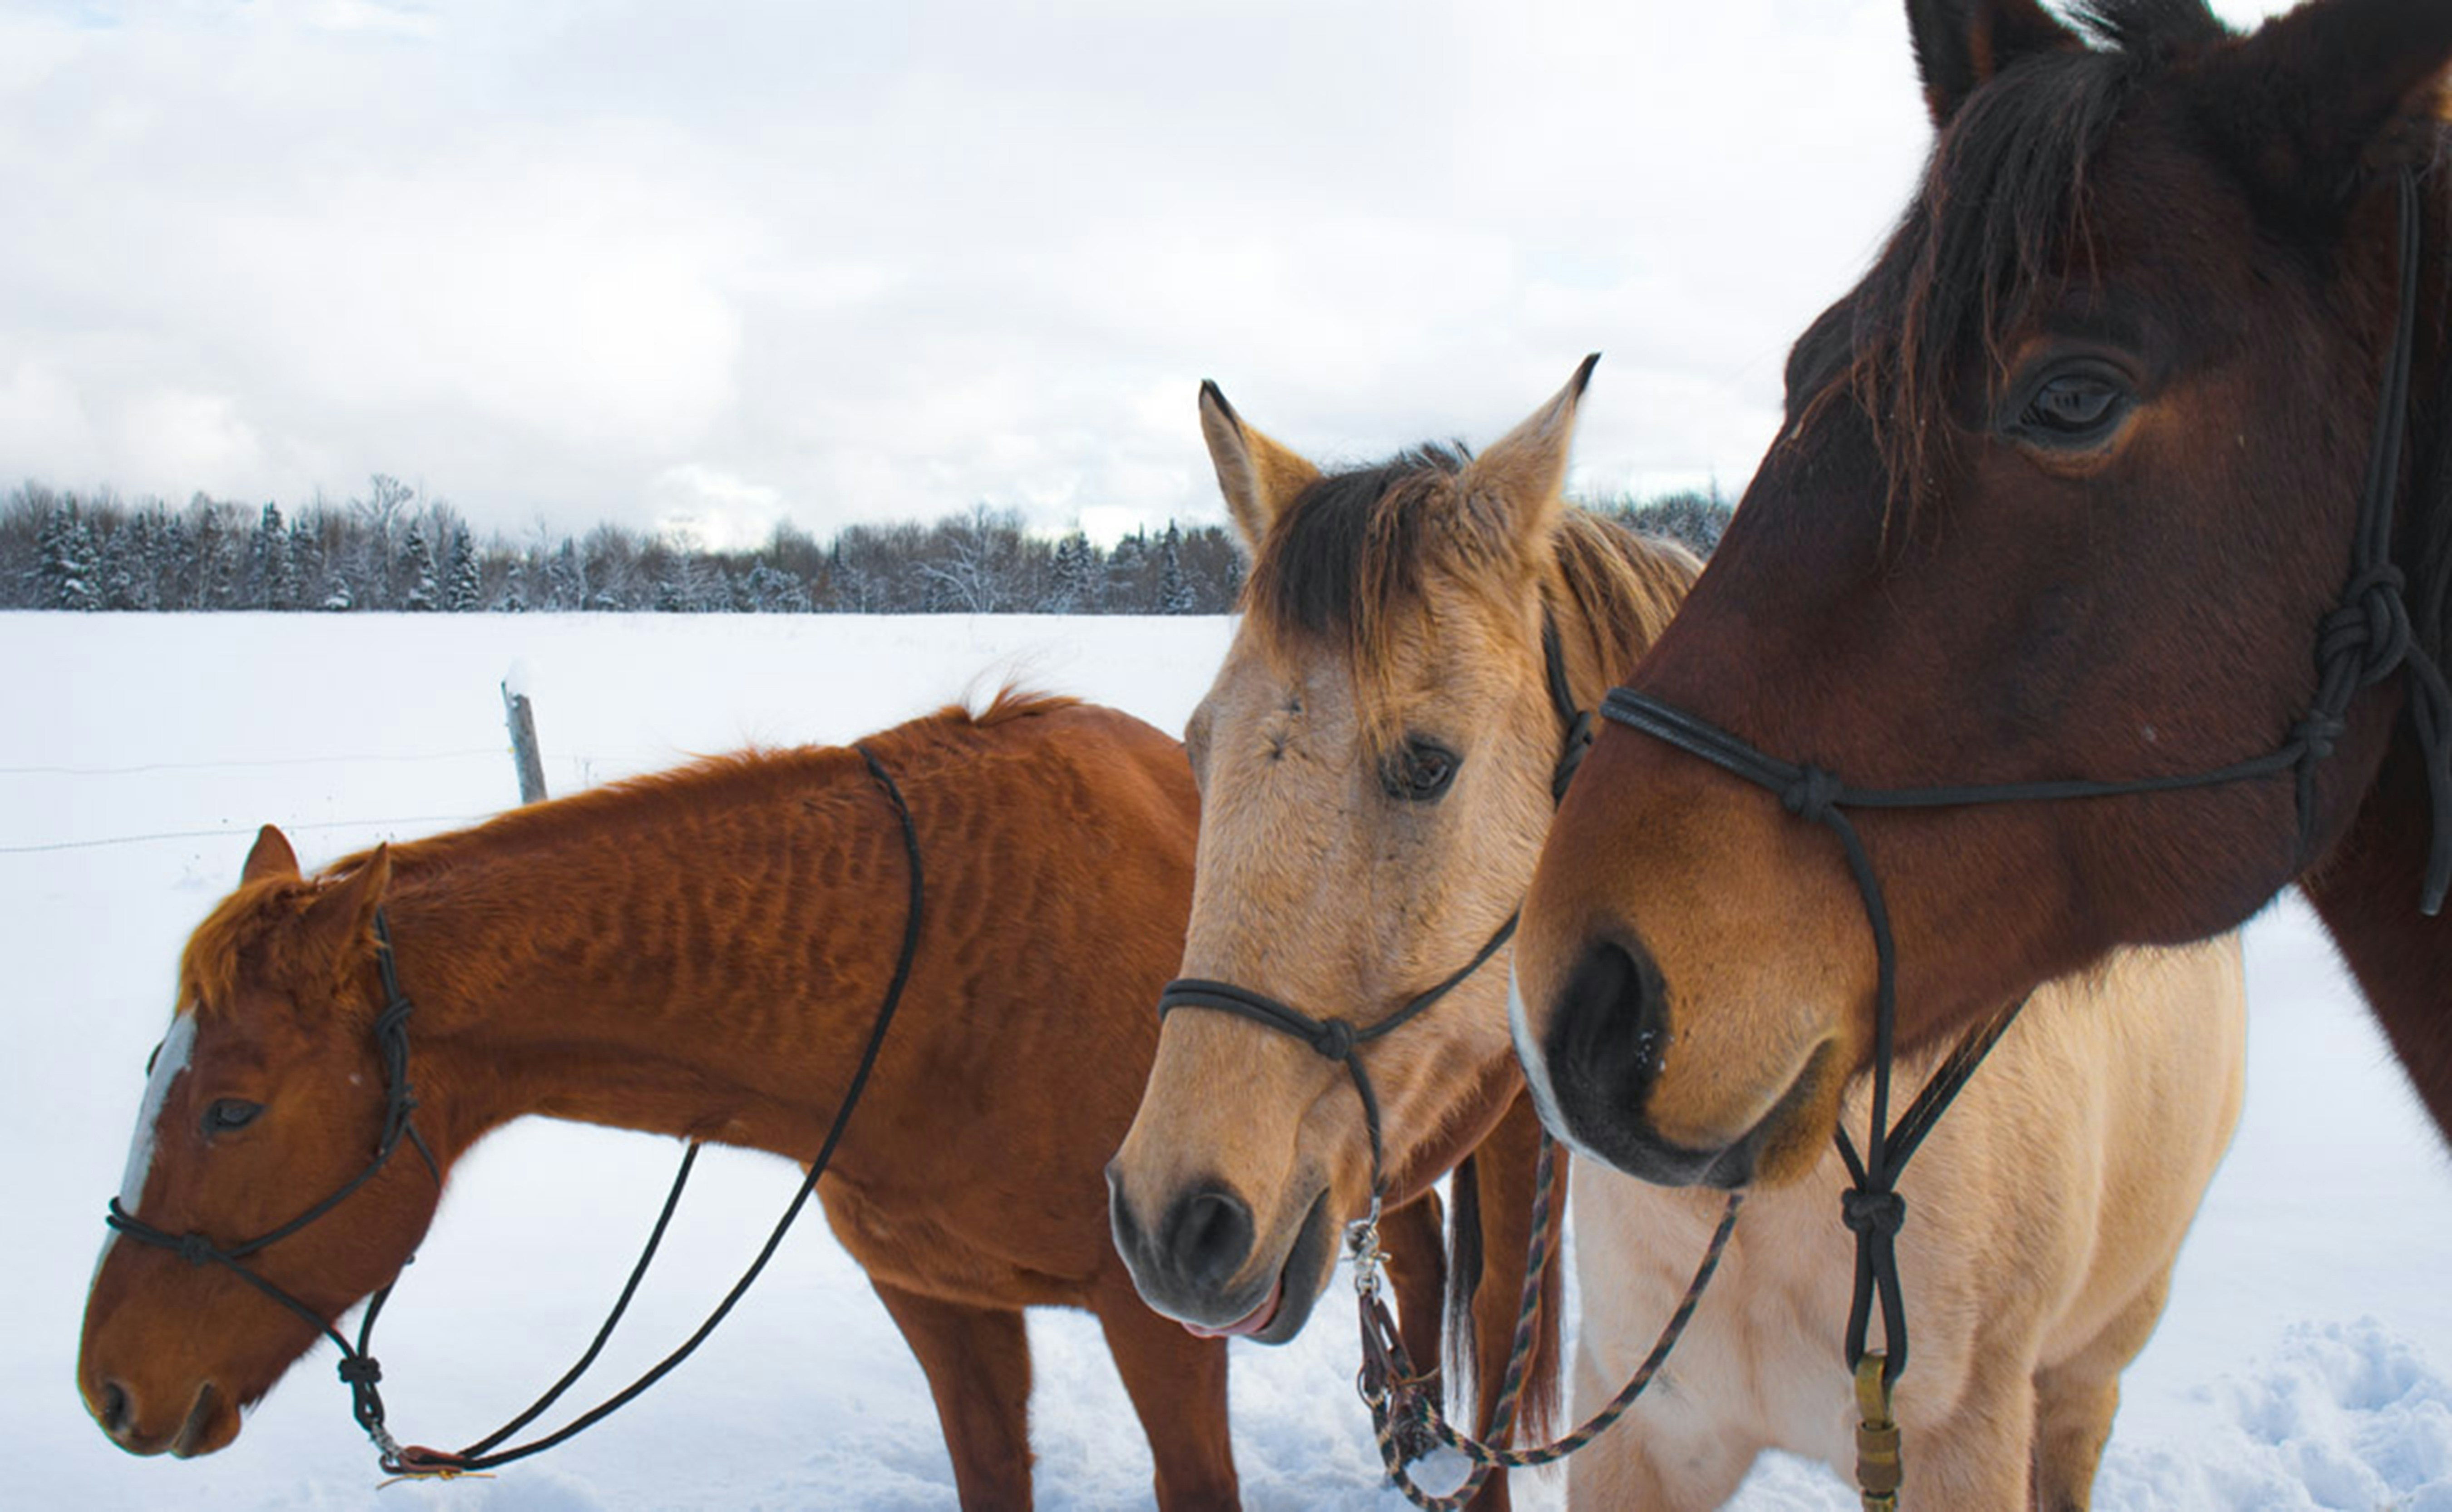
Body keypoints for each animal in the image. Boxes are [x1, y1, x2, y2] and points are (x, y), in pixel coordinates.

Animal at [1110, 367, 2244, 1507]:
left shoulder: (1965, 1444)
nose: (1171, 1221)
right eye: (1197, 749)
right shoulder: (1648, 1429)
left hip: (2089, 1369)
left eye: (1426, 762)